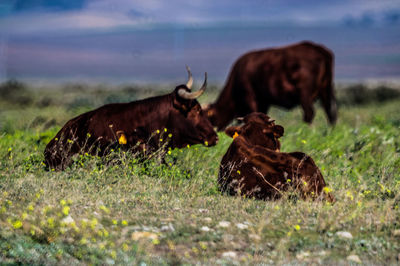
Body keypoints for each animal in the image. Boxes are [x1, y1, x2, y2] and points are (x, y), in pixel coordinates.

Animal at [206, 40, 338, 131]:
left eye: (210, 119)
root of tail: (319, 49)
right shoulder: (264, 101)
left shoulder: (251, 97)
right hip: (325, 89)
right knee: (329, 112)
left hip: (305, 93)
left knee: (309, 114)